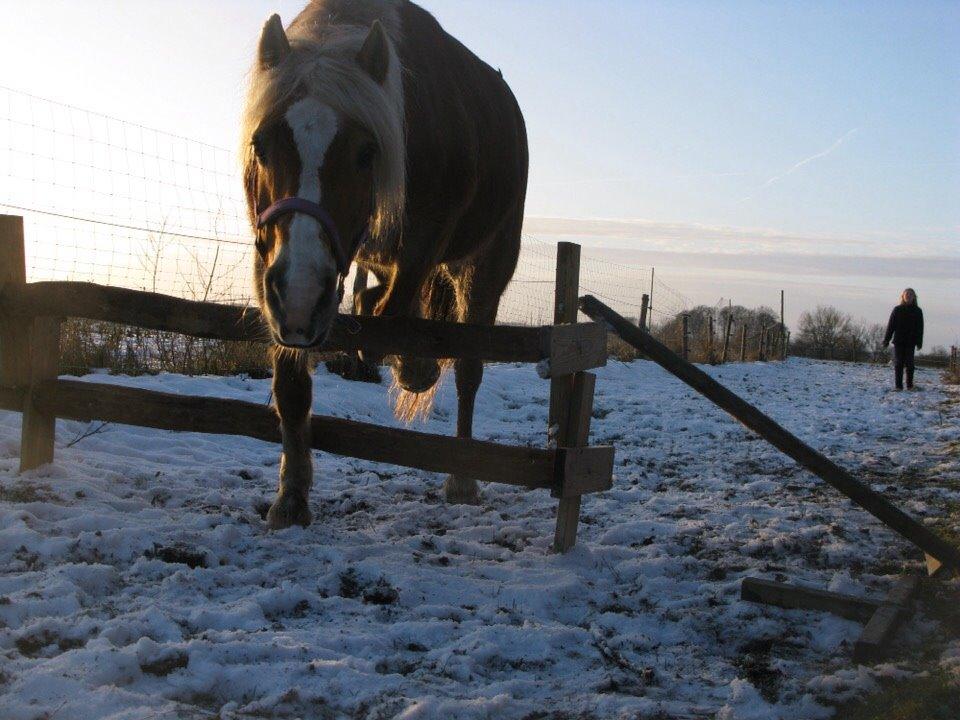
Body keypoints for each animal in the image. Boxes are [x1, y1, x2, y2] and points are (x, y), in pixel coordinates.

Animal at [240, 0, 524, 528]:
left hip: (487, 266)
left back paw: (462, 477)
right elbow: (292, 384)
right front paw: (291, 497)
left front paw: (417, 366)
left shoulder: (427, 240)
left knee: (467, 368)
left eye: (366, 152)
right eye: (261, 145)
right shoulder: (276, 275)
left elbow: (394, 318)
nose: (302, 295)